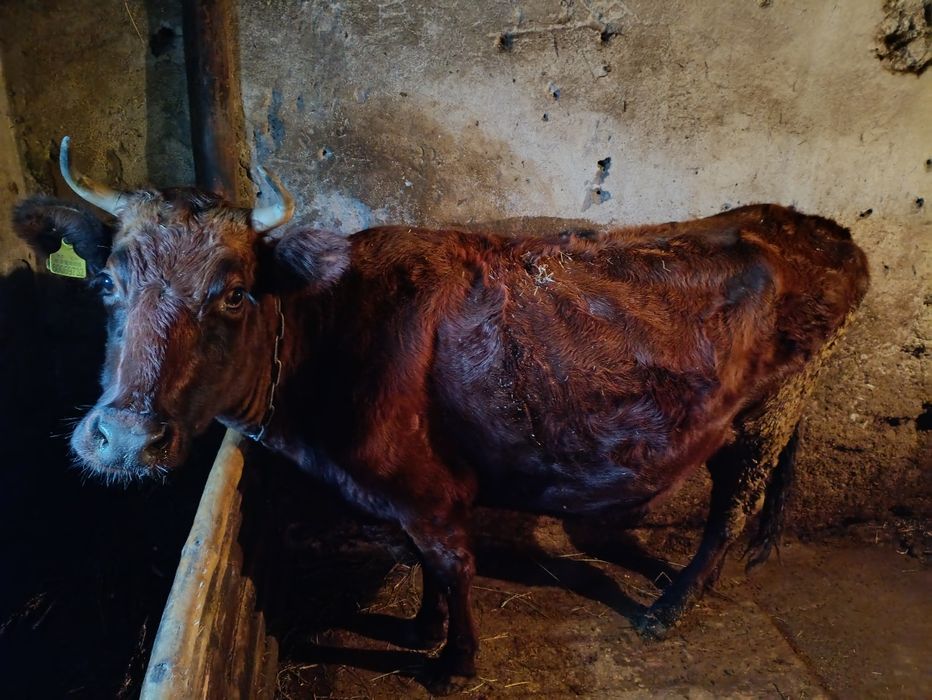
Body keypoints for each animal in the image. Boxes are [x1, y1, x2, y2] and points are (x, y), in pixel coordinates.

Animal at [14, 137, 869, 691]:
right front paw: (423, 630)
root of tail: (812, 226)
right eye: (108, 283)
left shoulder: (430, 488)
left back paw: (668, 607)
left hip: (766, 416)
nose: (124, 439)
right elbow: (422, 560)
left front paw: (455, 662)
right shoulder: (404, 492)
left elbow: (453, 565)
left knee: (732, 509)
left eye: (232, 293)